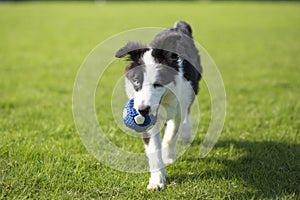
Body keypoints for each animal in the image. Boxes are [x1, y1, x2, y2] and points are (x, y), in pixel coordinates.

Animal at [115, 21, 202, 190]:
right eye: (136, 81)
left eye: (158, 83)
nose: (142, 110)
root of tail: (178, 26)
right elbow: (154, 149)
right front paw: (157, 181)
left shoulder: (179, 106)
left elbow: (171, 134)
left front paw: (168, 157)